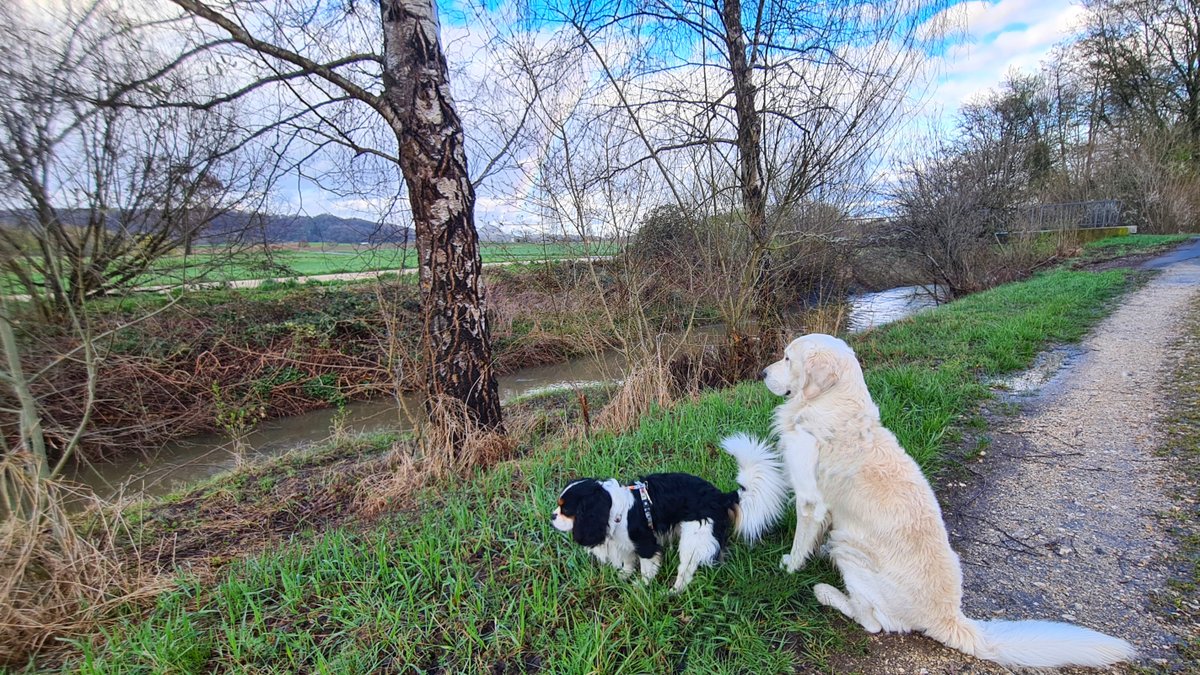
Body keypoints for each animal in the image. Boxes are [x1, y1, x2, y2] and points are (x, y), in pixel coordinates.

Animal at [763, 333, 1137, 662]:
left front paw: (789, 567)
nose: (763, 373)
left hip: (850, 548)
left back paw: (827, 593)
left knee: (872, 622)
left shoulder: (809, 500)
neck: (833, 407)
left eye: (787, 358)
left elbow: (800, 541)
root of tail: (948, 618)